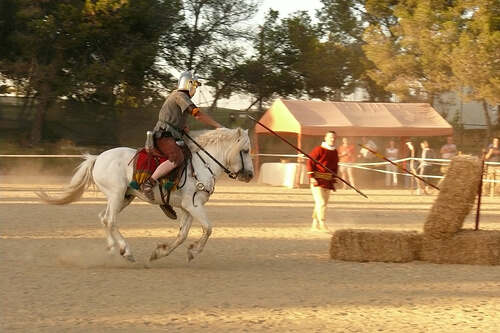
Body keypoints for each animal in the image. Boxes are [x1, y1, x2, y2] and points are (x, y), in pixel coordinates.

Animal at [37, 127, 254, 262]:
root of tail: (98, 158)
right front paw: (193, 251)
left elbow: (182, 235)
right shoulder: (194, 205)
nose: (250, 175)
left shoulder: (188, 208)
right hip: (116, 195)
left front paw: (160, 253)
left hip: (124, 198)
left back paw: (112, 249)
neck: (202, 165)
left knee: (103, 218)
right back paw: (126, 251)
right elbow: (208, 228)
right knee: (110, 221)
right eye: (245, 150)